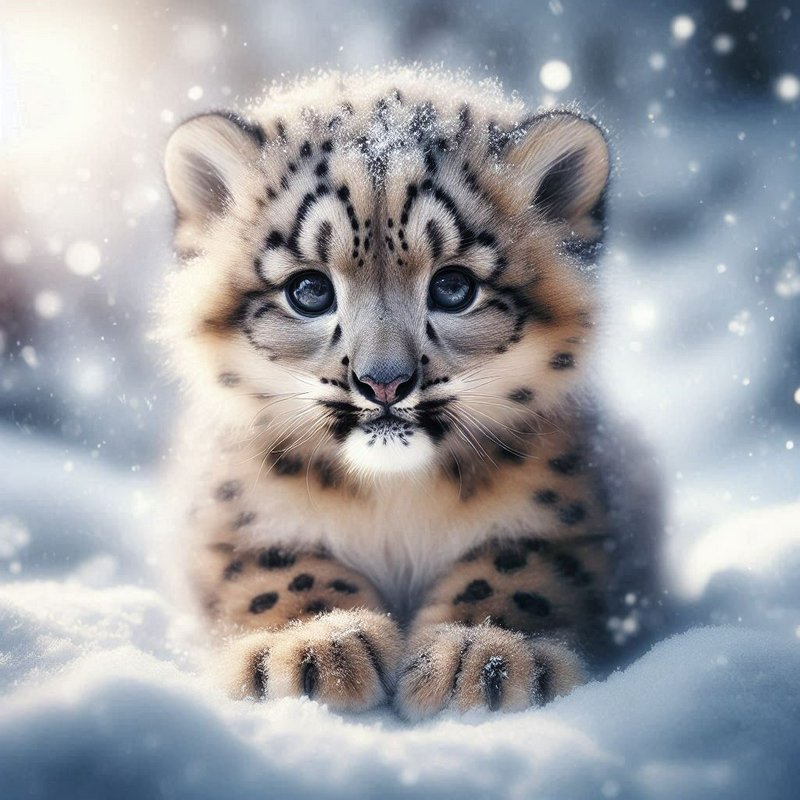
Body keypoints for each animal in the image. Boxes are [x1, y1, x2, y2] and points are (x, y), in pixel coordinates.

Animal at [158, 67, 663, 719]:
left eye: (453, 287)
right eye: (309, 291)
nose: (384, 382)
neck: (394, 499)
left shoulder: (570, 520)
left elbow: (518, 568)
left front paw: (480, 654)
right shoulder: (230, 523)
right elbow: (276, 568)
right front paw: (314, 644)